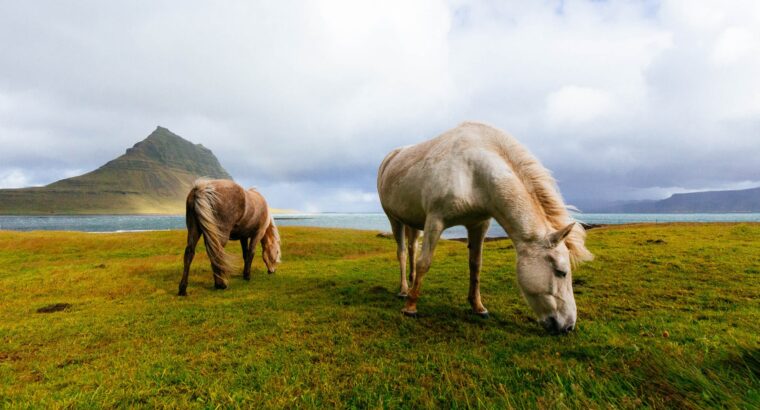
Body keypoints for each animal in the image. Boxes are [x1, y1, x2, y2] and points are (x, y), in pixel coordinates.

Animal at [378, 121, 592, 334]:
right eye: (561, 272)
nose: (568, 326)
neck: (474, 172)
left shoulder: (479, 225)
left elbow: (476, 265)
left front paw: (478, 307)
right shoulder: (435, 221)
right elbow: (425, 262)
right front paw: (410, 307)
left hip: (413, 222)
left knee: (412, 248)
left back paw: (411, 283)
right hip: (394, 219)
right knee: (402, 253)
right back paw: (404, 290)